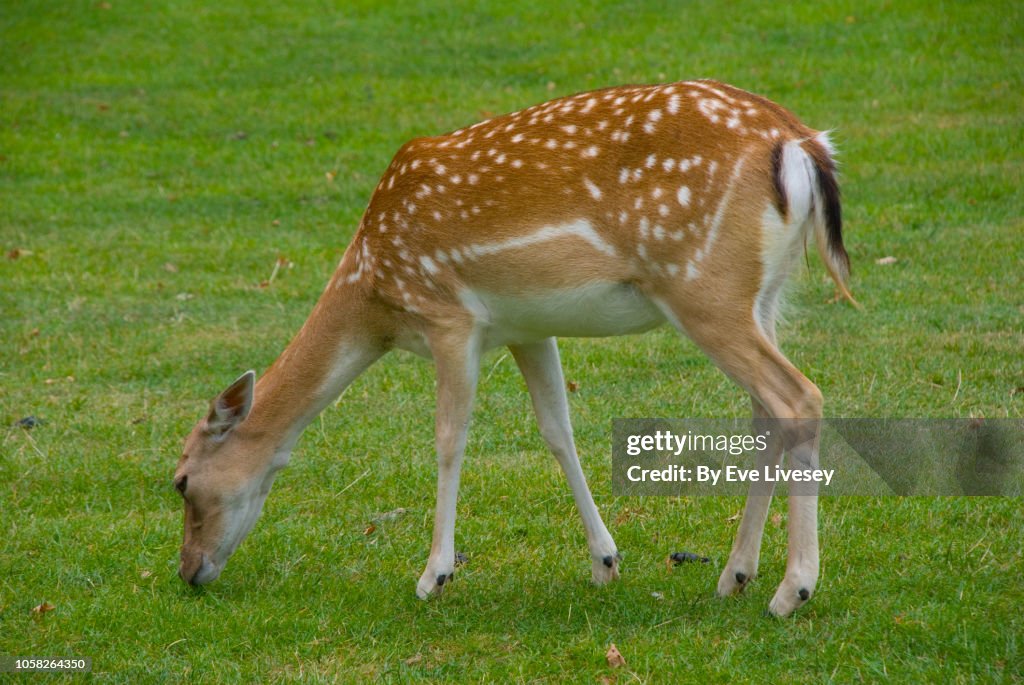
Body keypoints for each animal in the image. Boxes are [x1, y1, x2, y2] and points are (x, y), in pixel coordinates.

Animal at [174, 79, 855, 617]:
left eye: (180, 482)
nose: (188, 571)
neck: (373, 291)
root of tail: (801, 145)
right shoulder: (528, 327)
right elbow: (557, 429)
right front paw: (604, 562)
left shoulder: (449, 315)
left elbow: (449, 438)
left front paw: (434, 576)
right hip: (763, 295)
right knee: (765, 410)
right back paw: (734, 575)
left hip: (702, 287)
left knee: (799, 397)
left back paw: (792, 591)